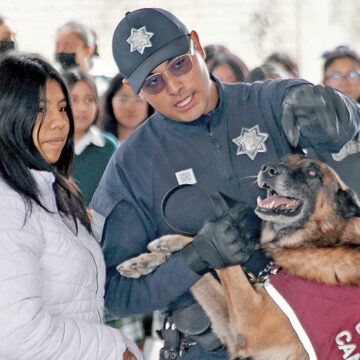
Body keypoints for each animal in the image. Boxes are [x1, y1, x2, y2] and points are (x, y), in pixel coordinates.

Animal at [117, 155, 360, 360]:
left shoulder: (252, 323)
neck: (318, 241)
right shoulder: (231, 328)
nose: (267, 169)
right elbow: (198, 256)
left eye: (311, 172)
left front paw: (214, 243)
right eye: (284, 160)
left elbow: (222, 262)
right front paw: (147, 258)